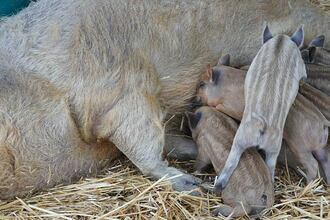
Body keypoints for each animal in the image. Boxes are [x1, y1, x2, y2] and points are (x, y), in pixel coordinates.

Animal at [199, 52, 330, 183]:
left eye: (201, 84)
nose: (195, 98)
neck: (223, 87)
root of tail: (323, 122)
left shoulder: (233, 107)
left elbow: (220, 108)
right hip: (319, 149)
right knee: (325, 159)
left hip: (300, 146)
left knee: (313, 164)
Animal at [215, 26, 306, 191]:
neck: (281, 41)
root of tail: (262, 126)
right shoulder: (301, 65)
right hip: (272, 147)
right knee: (269, 168)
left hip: (242, 139)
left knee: (231, 162)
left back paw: (218, 186)